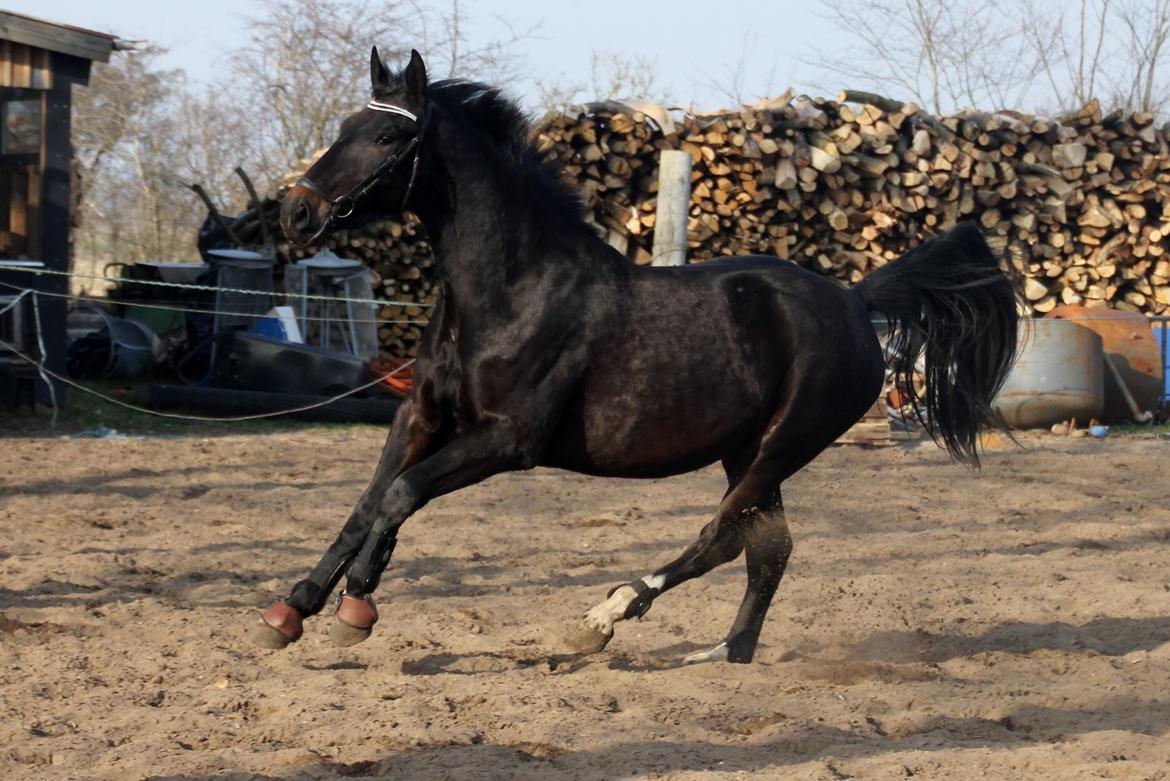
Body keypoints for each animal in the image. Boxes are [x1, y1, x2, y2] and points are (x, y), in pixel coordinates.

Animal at [256, 45, 1015, 664]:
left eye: (387, 135)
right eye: (343, 128)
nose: (296, 213)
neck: (512, 289)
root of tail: (856, 301)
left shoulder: (507, 440)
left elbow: (402, 494)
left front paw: (357, 607)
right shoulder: (420, 414)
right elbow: (370, 499)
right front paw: (292, 609)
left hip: (784, 443)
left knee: (723, 536)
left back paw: (607, 615)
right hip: (746, 448)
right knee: (768, 548)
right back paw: (722, 653)